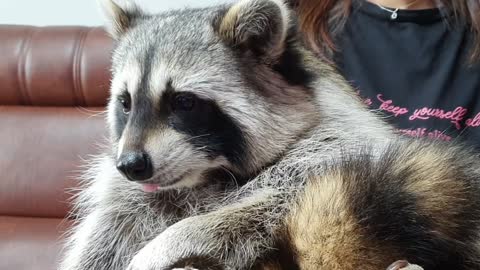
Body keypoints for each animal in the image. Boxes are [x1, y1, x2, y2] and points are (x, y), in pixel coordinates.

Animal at [59, 0, 480, 270]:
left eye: (183, 102)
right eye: (126, 102)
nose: (131, 165)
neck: (205, 176)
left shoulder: (340, 152)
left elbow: (263, 209)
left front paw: (167, 242)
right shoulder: (132, 196)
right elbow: (109, 229)